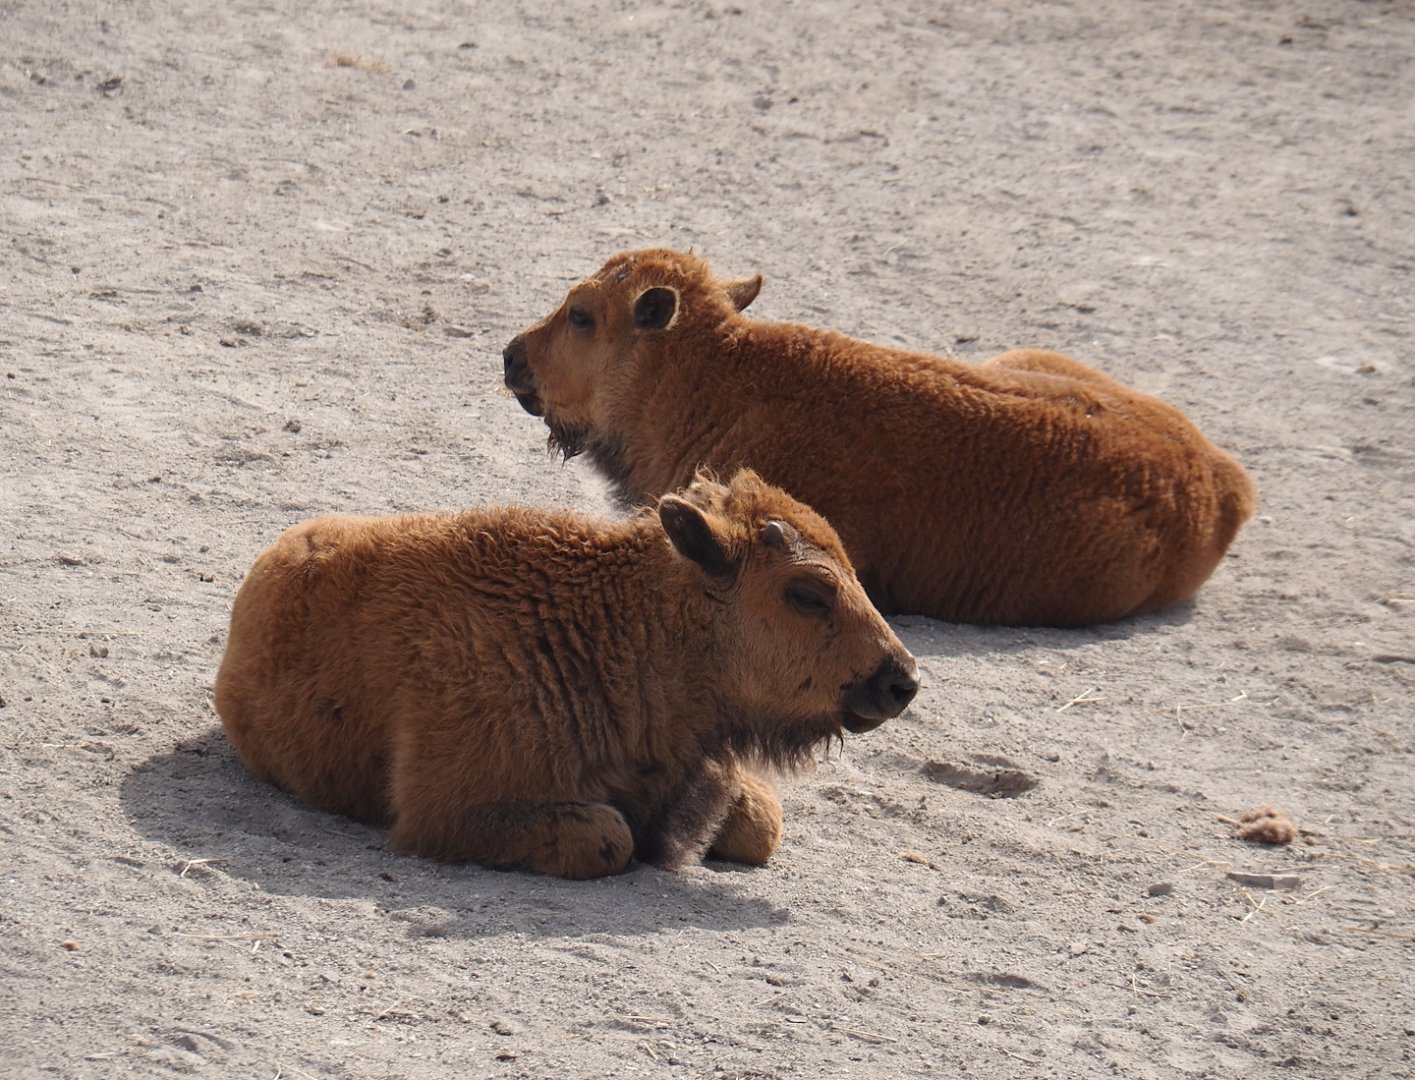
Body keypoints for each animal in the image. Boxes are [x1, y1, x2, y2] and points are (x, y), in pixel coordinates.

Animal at [213, 469, 919, 879]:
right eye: (807, 593)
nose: (902, 680)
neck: (611, 625)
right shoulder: (448, 812)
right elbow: (610, 838)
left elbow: (759, 824)